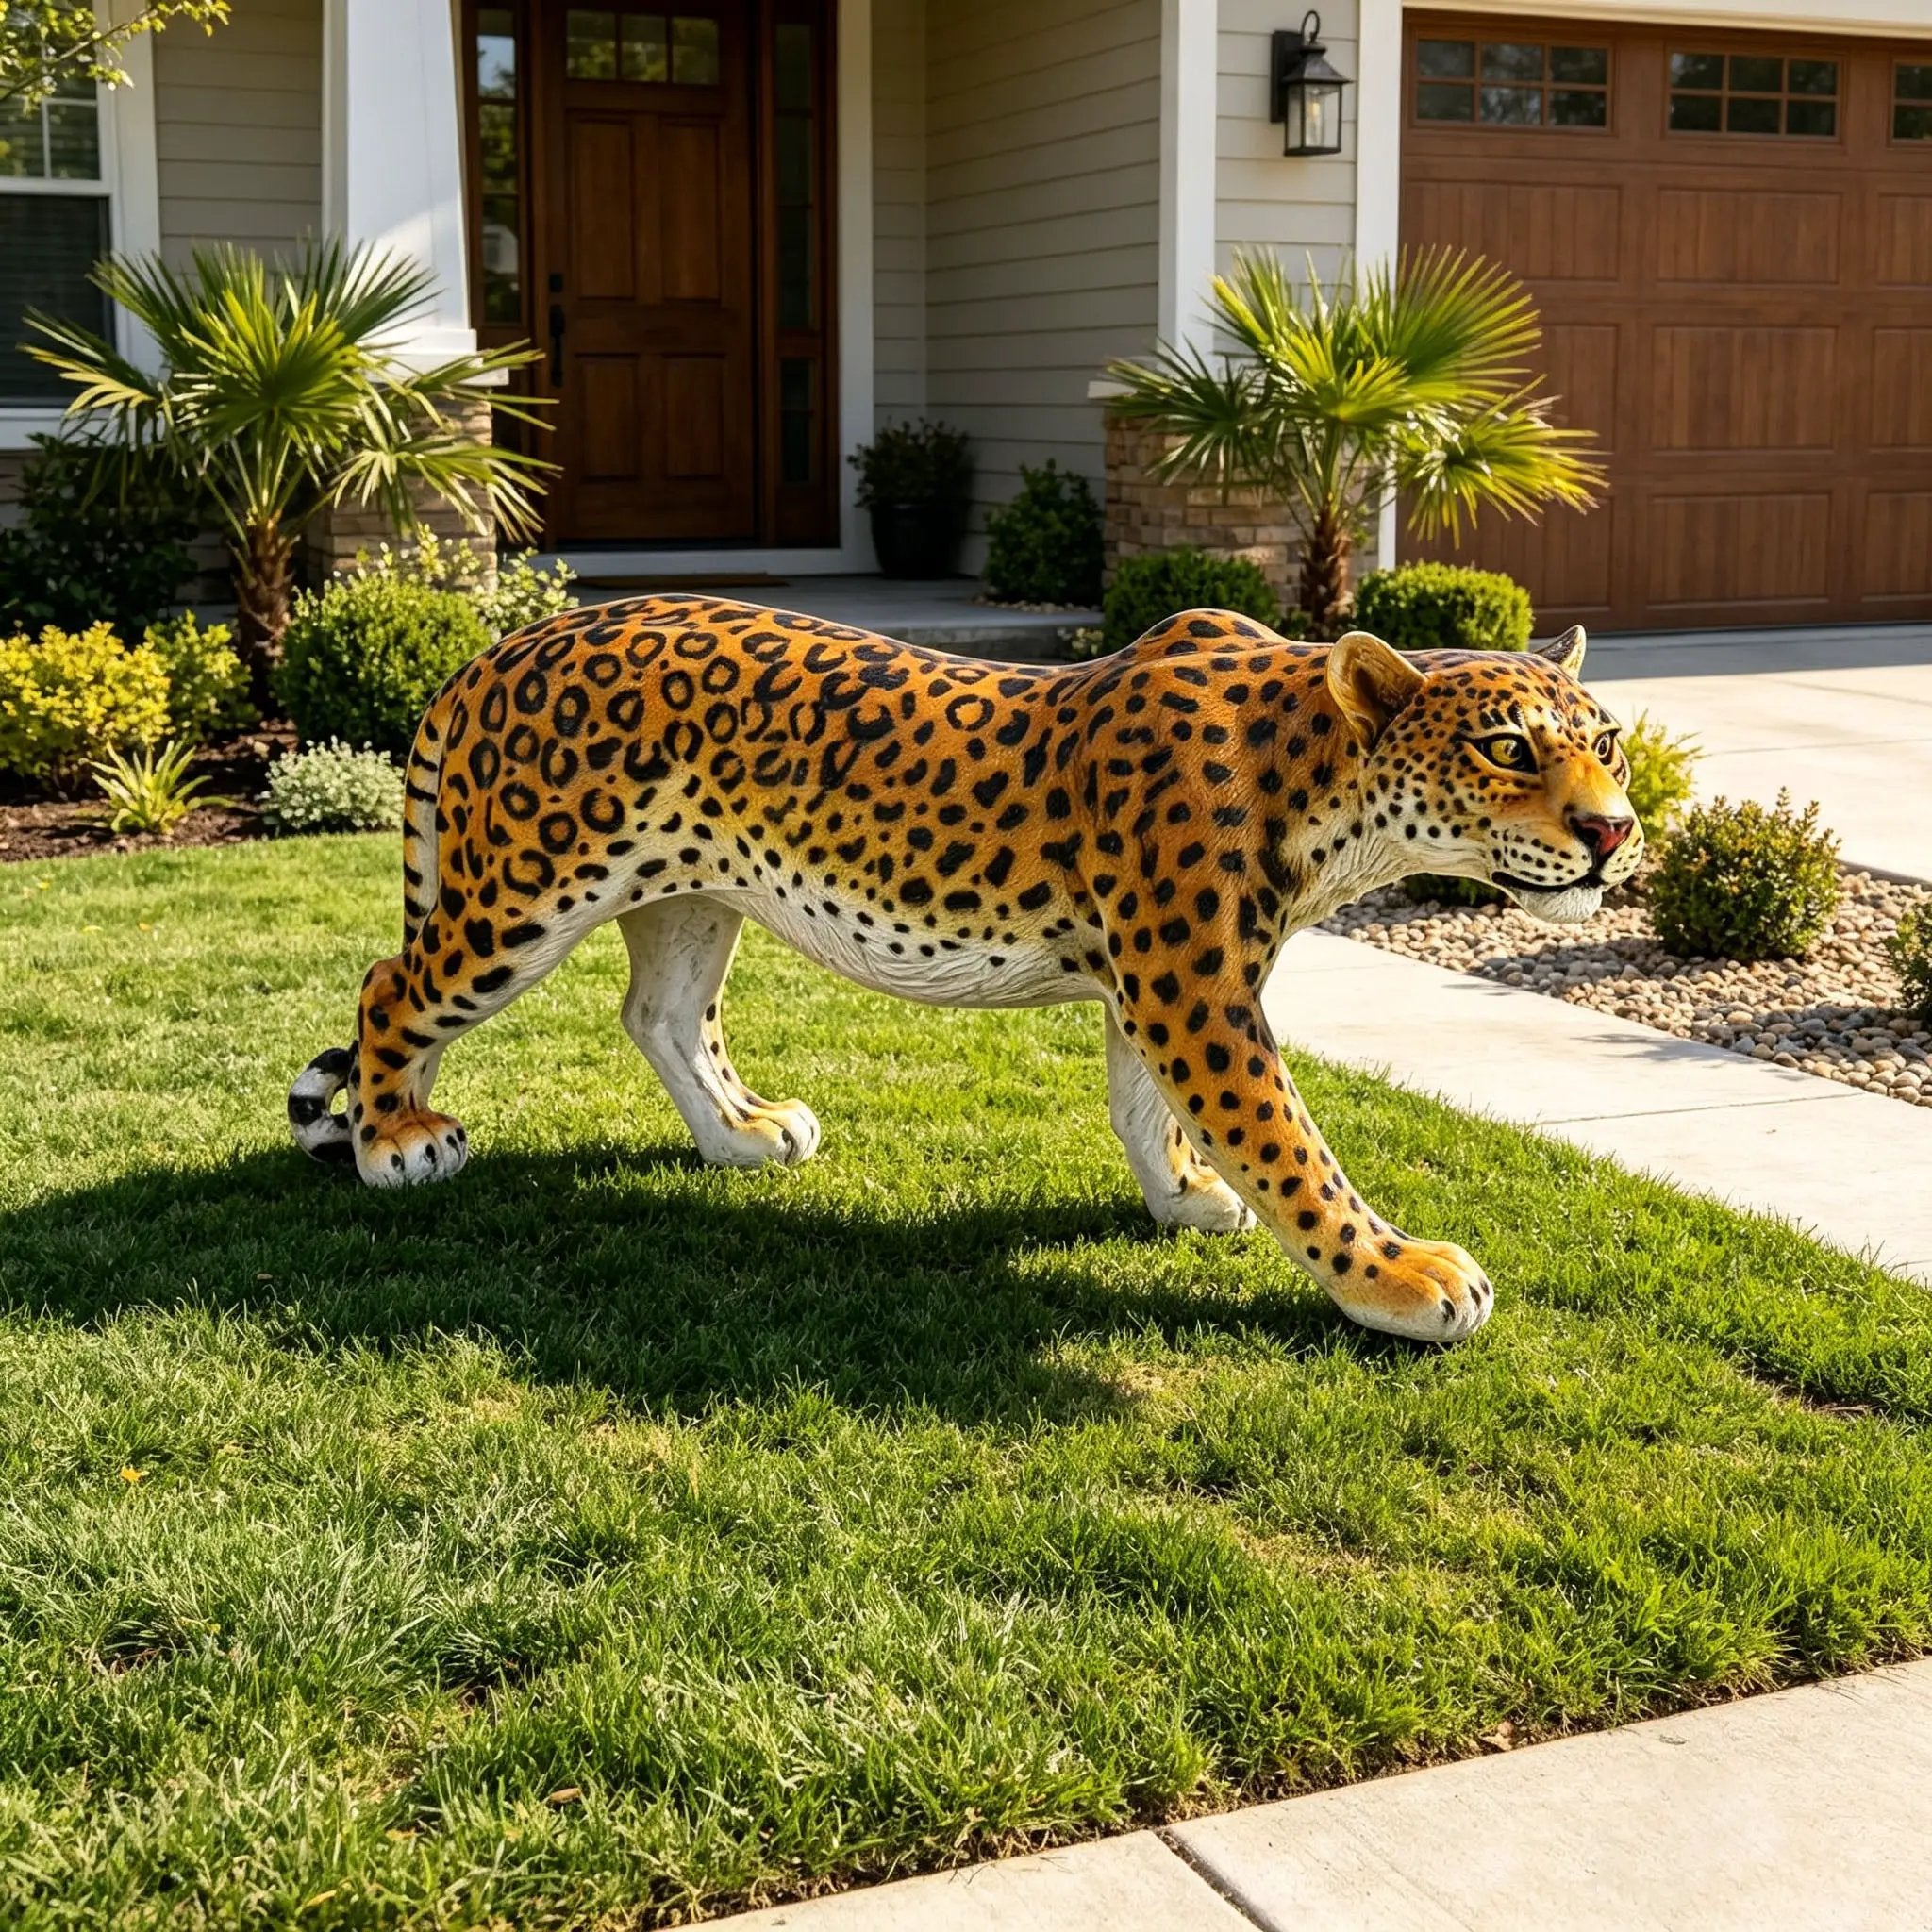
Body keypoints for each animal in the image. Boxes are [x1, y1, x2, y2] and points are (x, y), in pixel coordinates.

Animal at [288, 598, 1642, 1343]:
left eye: (1609, 743)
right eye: (1508, 747)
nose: (1614, 830)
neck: (1325, 794)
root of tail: (501, 645)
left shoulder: (1160, 979)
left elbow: (1149, 1105)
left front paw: (1182, 1193)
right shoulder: (1191, 982)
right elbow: (1289, 1143)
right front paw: (1398, 1276)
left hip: (688, 891)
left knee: (659, 1012)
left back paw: (741, 1134)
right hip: (523, 893)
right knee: (391, 987)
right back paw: (394, 1138)